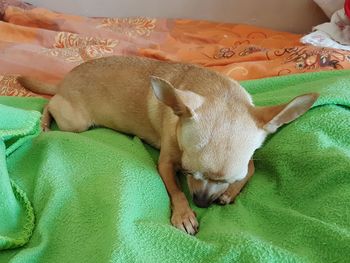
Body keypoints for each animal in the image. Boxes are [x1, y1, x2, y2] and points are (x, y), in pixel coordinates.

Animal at [17, 55, 318, 235]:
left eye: (228, 179)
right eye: (187, 171)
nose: (202, 202)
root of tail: (65, 78)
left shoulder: (249, 157)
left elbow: (252, 167)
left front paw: (230, 193)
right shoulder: (165, 164)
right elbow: (175, 190)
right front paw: (184, 215)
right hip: (74, 121)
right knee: (49, 103)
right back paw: (43, 122)